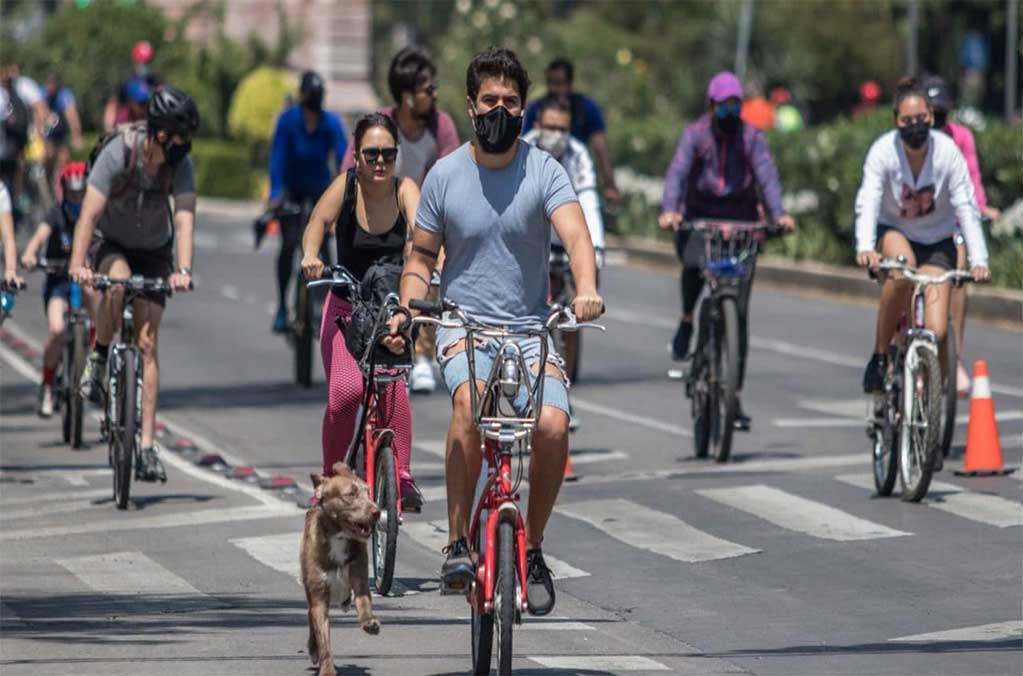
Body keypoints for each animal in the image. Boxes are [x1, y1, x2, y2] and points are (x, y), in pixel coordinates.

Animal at [304, 462, 384, 670]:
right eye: (350, 494)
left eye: (368, 492)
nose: (377, 512)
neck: (339, 537)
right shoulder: (319, 596)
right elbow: (323, 638)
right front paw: (326, 668)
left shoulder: (359, 577)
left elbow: (364, 603)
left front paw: (369, 622)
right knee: (310, 615)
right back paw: (312, 648)